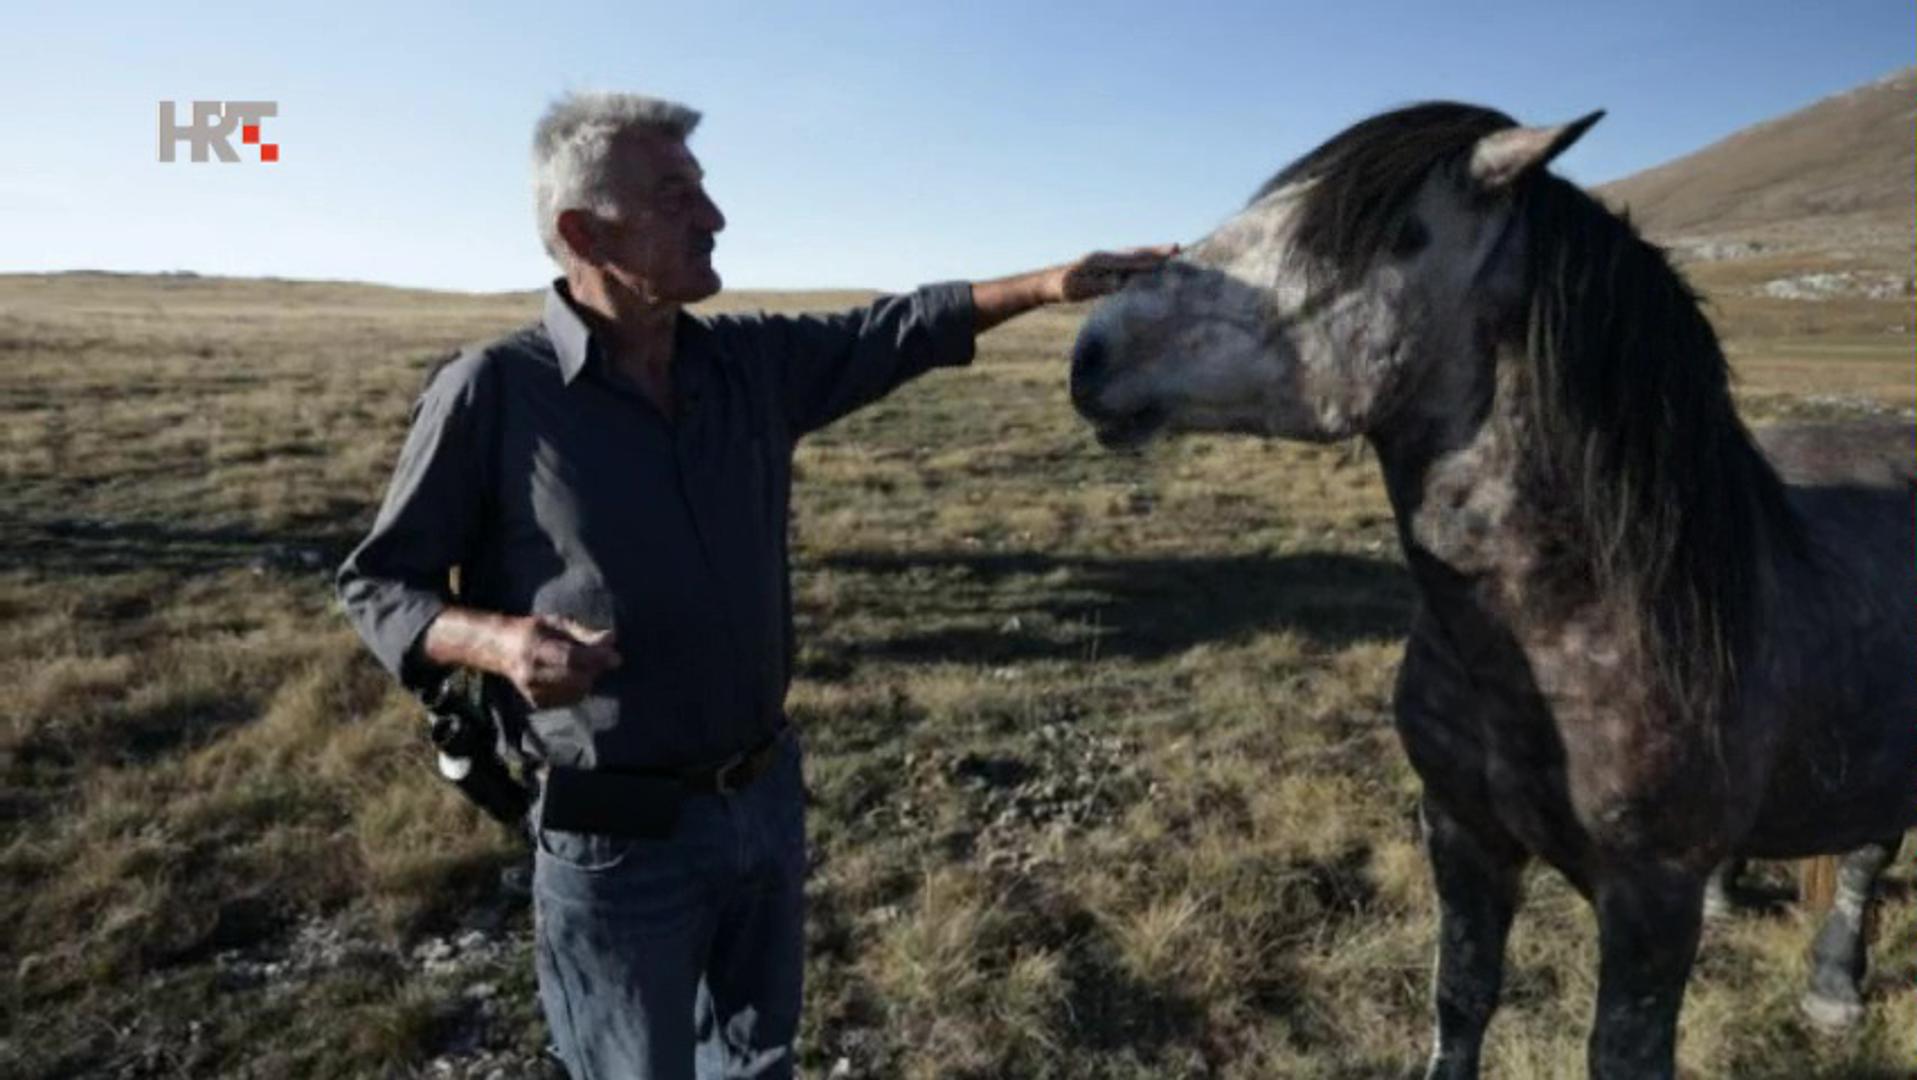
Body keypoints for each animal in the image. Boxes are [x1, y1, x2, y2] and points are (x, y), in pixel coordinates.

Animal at [1073, 103, 1909, 1080]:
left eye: (1394, 236)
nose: (1092, 351)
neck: (1568, 615)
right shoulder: (1460, 832)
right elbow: (1460, 998)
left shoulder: (1646, 897)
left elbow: (1620, 1053)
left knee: (1867, 853)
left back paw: (1833, 983)